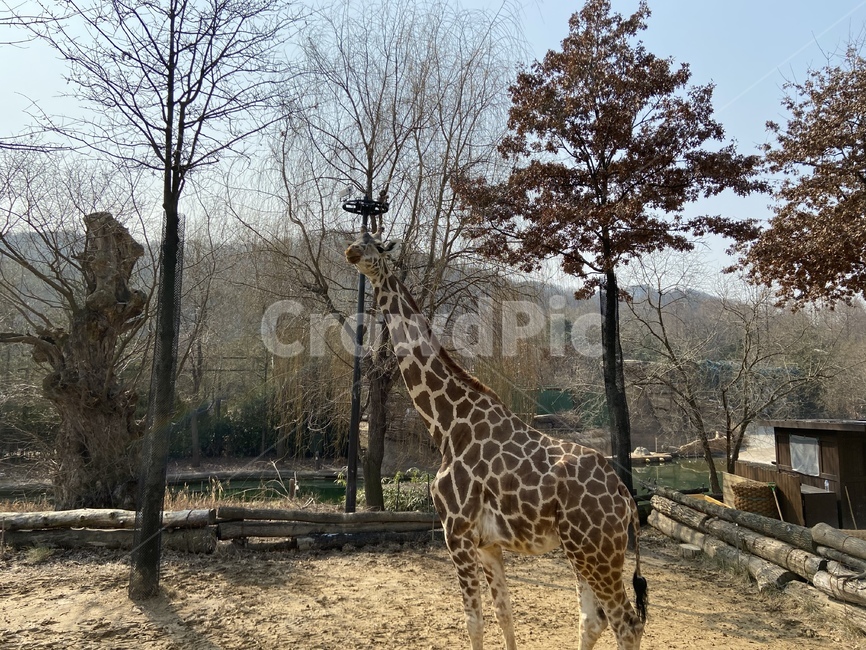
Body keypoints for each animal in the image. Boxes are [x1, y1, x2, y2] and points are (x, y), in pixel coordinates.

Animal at [345, 231, 647, 650]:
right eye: (357, 237)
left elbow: (474, 621)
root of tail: (626, 500)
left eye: (375, 244)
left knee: (626, 623)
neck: (448, 426)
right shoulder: (488, 543)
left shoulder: (456, 531)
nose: (350, 252)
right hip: (581, 550)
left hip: (597, 551)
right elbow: (505, 614)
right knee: (593, 619)